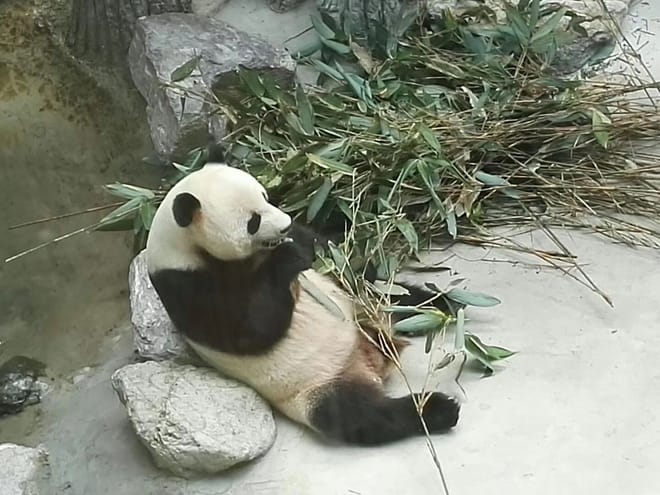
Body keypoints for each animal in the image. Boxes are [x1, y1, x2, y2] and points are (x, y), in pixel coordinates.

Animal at [145, 162, 460, 446]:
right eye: (253, 221)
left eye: (265, 196)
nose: (284, 225)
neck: (181, 244)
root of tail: (369, 359)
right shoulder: (183, 285)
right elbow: (250, 328)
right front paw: (288, 258)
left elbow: (334, 256)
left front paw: (310, 249)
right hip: (313, 389)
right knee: (360, 415)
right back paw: (438, 410)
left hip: (367, 306)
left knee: (396, 297)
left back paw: (444, 307)